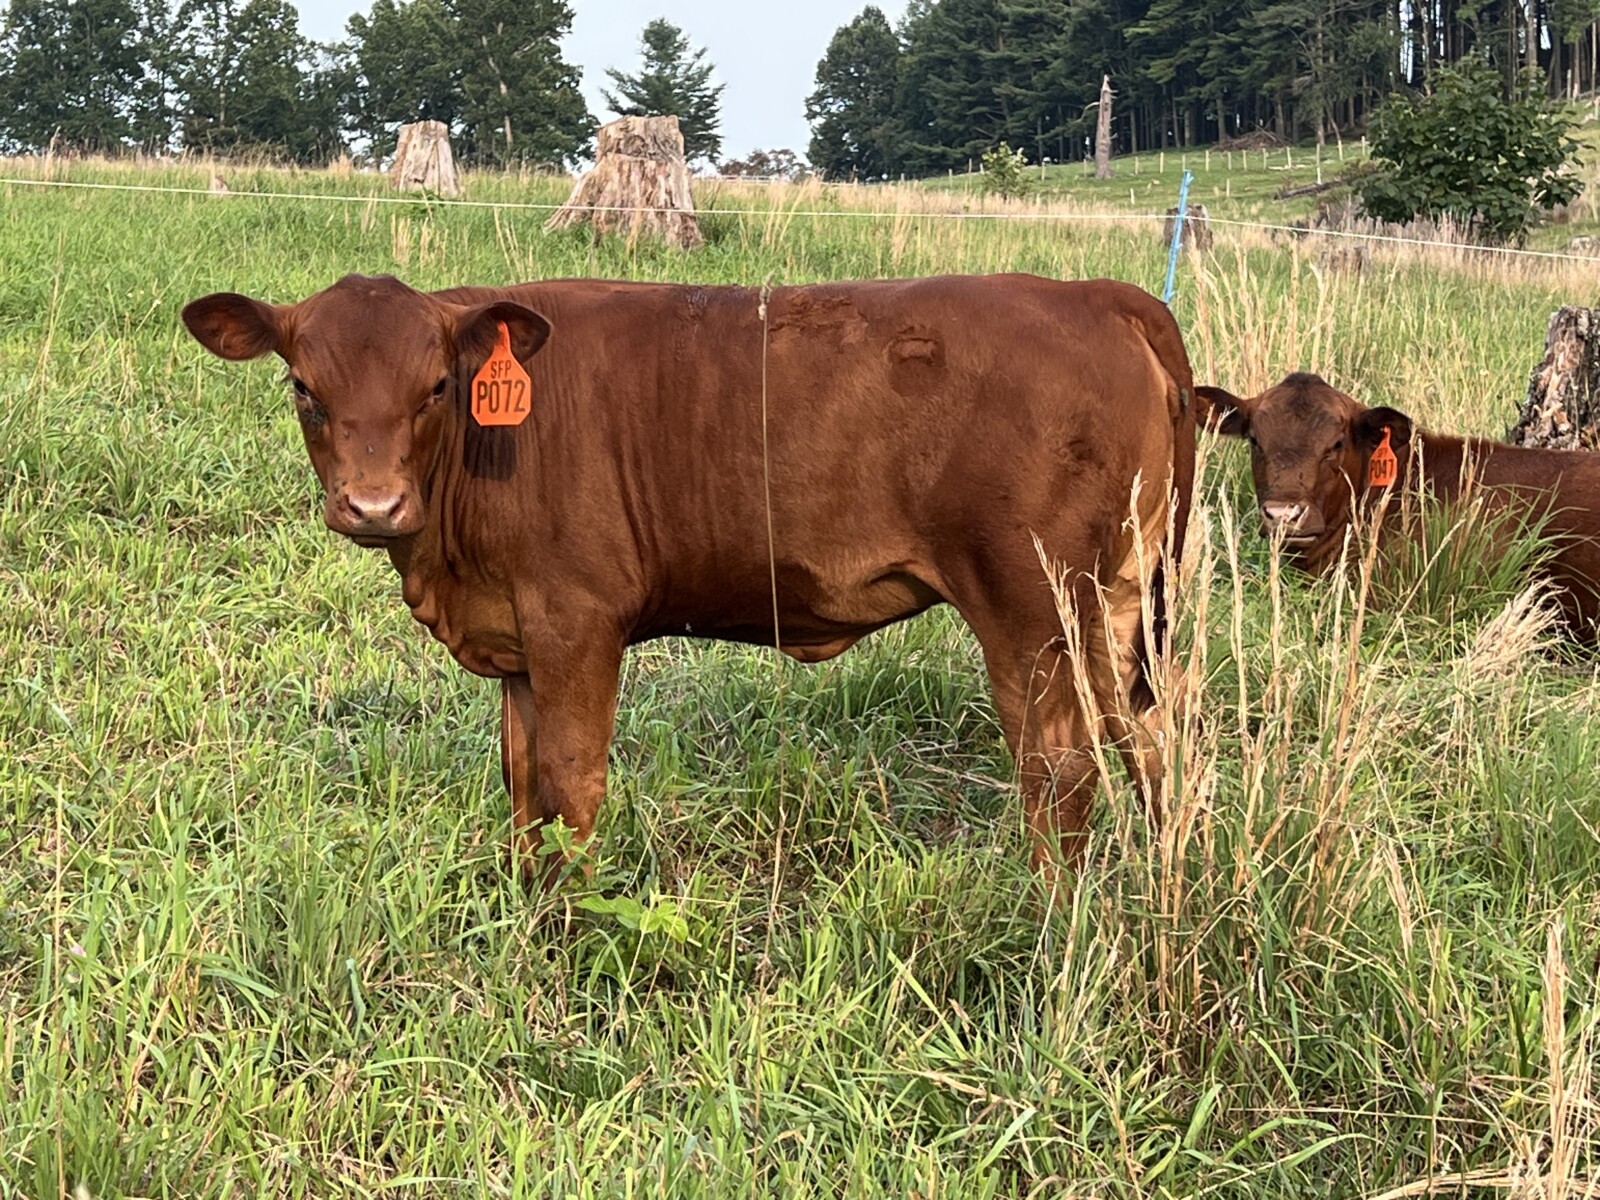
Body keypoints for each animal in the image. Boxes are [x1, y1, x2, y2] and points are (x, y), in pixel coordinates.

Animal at [182, 272, 1197, 888]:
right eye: (304, 389)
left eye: (435, 386)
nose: (373, 504)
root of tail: (1089, 294)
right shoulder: (519, 641)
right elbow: (520, 782)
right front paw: (524, 903)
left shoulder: (575, 619)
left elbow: (572, 779)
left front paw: (572, 931)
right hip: (1114, 604)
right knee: (1148, 744)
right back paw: (1157, 878)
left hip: (1033, 607)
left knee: (1059, 770)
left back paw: (1057, 922)